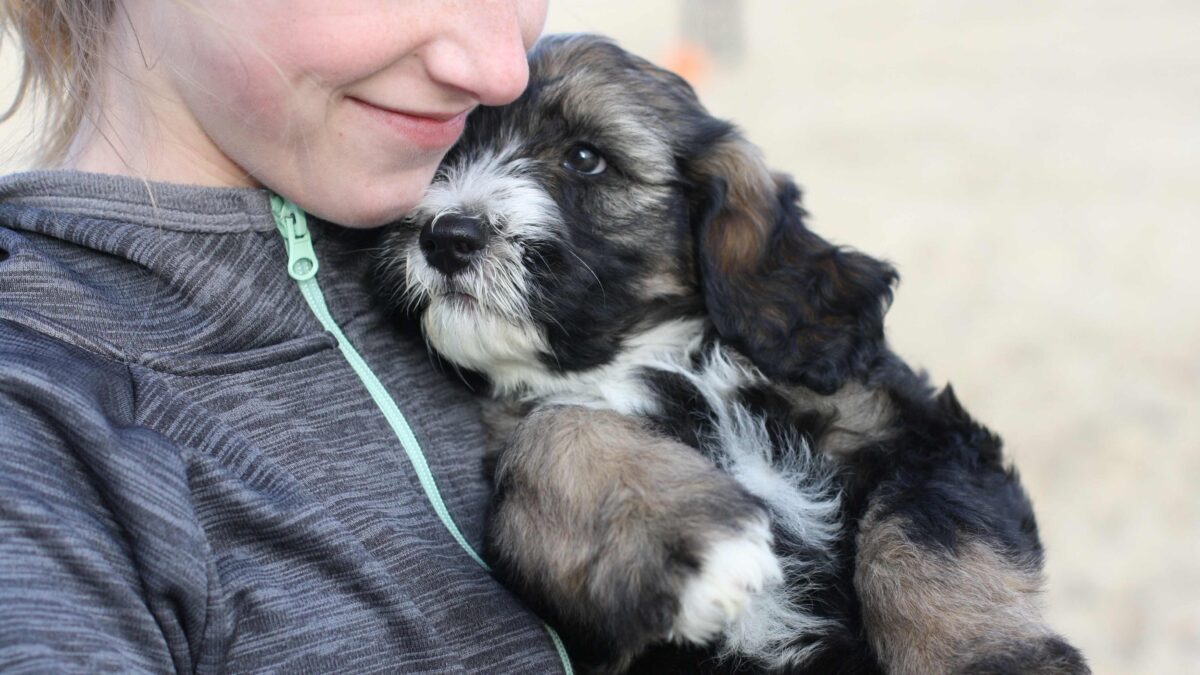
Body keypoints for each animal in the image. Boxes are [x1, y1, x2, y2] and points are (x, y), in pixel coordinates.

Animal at [374, 35, 1089, 672]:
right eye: (445, 153)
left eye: (584, 157)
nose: (447, 237)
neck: (651, 357)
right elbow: (560, 429)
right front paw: (687, 540)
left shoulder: (924, 431)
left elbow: (928, 537)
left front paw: (991, 657)